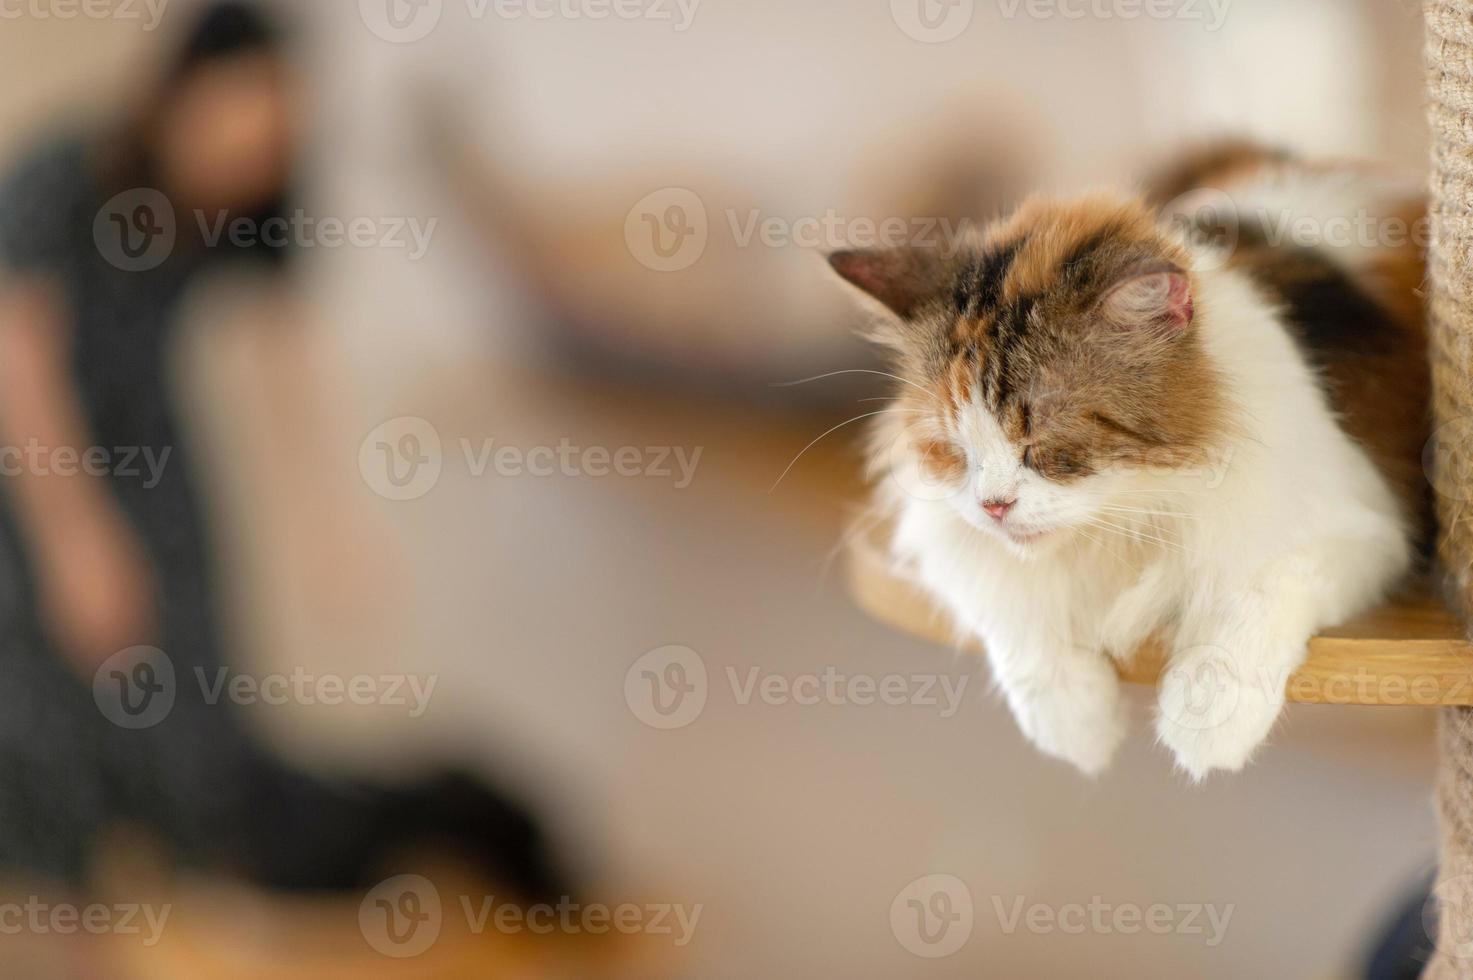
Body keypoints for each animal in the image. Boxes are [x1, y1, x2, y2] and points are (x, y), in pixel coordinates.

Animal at [836, 141, 1431, 778]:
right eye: (954, 449)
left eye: (1043, 442)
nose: (995, 505)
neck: (1129, 519)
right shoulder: (953, 543)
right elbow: (1017, 614)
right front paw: (1076, 723)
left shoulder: (1358, 526)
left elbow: (1255, 593)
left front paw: (1206, 716)